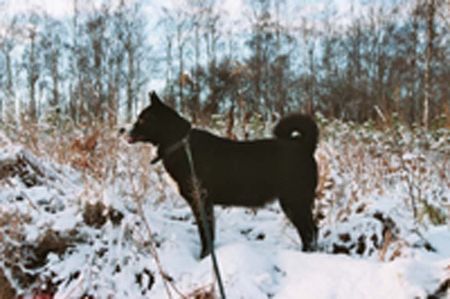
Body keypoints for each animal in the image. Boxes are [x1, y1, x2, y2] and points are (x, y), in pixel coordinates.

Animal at [128, 92, 318, 258]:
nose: (124, 131)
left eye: (142, 119)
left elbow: (206, 234)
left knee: (309, 232)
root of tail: (303, 146)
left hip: (295, 202)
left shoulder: (201, 201)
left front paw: (204, 257)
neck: (181, 143)